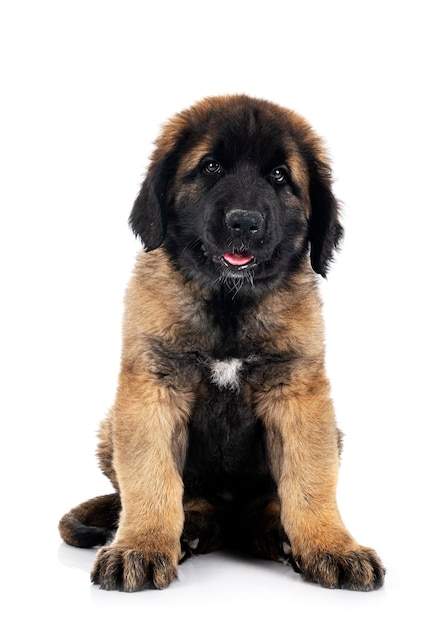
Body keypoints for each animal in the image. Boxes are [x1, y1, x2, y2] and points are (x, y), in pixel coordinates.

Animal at [58, 94, 384, 588]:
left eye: (279, 175)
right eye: (211, 167)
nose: (244, 224)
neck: (229, 303)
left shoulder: (297, 392)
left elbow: (310, 480)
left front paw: (331, 546)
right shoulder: (153, 389)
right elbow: (151, 477)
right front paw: (141, 546)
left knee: (268, 502)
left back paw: (275, 531)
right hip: (110, 430)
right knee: (191, 498)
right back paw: (190, 528)